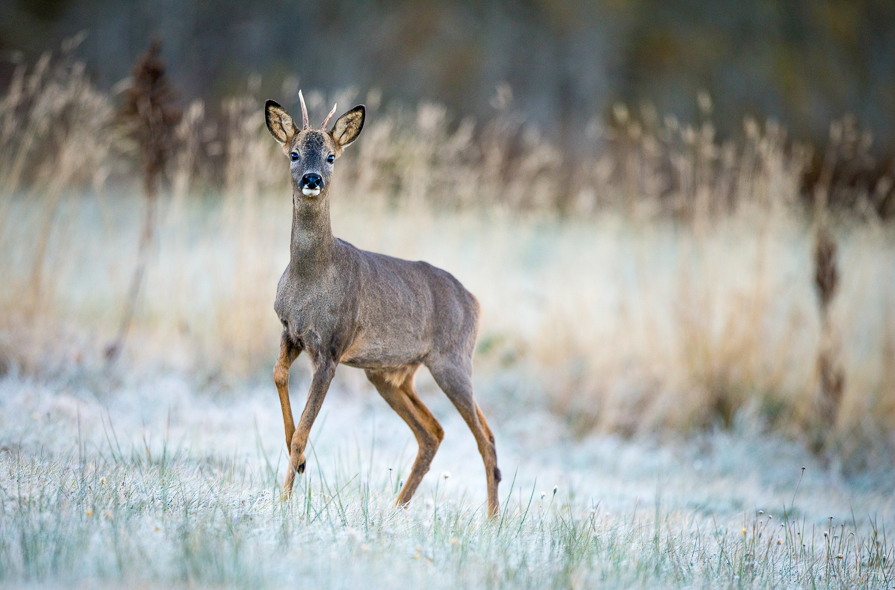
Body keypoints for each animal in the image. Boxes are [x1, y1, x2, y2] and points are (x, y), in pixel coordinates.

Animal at [266, 92, 504, 520]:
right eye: (294, 153)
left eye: (330, 156)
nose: (312, 179)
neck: (310, 279)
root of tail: (473, 301)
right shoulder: (290, 331)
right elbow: (278, 378)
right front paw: (299, 470)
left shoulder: (332, 348)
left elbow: (304, 433)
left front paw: (286, 498)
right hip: (391, 373)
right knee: (433, 431)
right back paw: (398, 507)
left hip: (452, 360)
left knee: (485, 437)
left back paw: (493, 520)